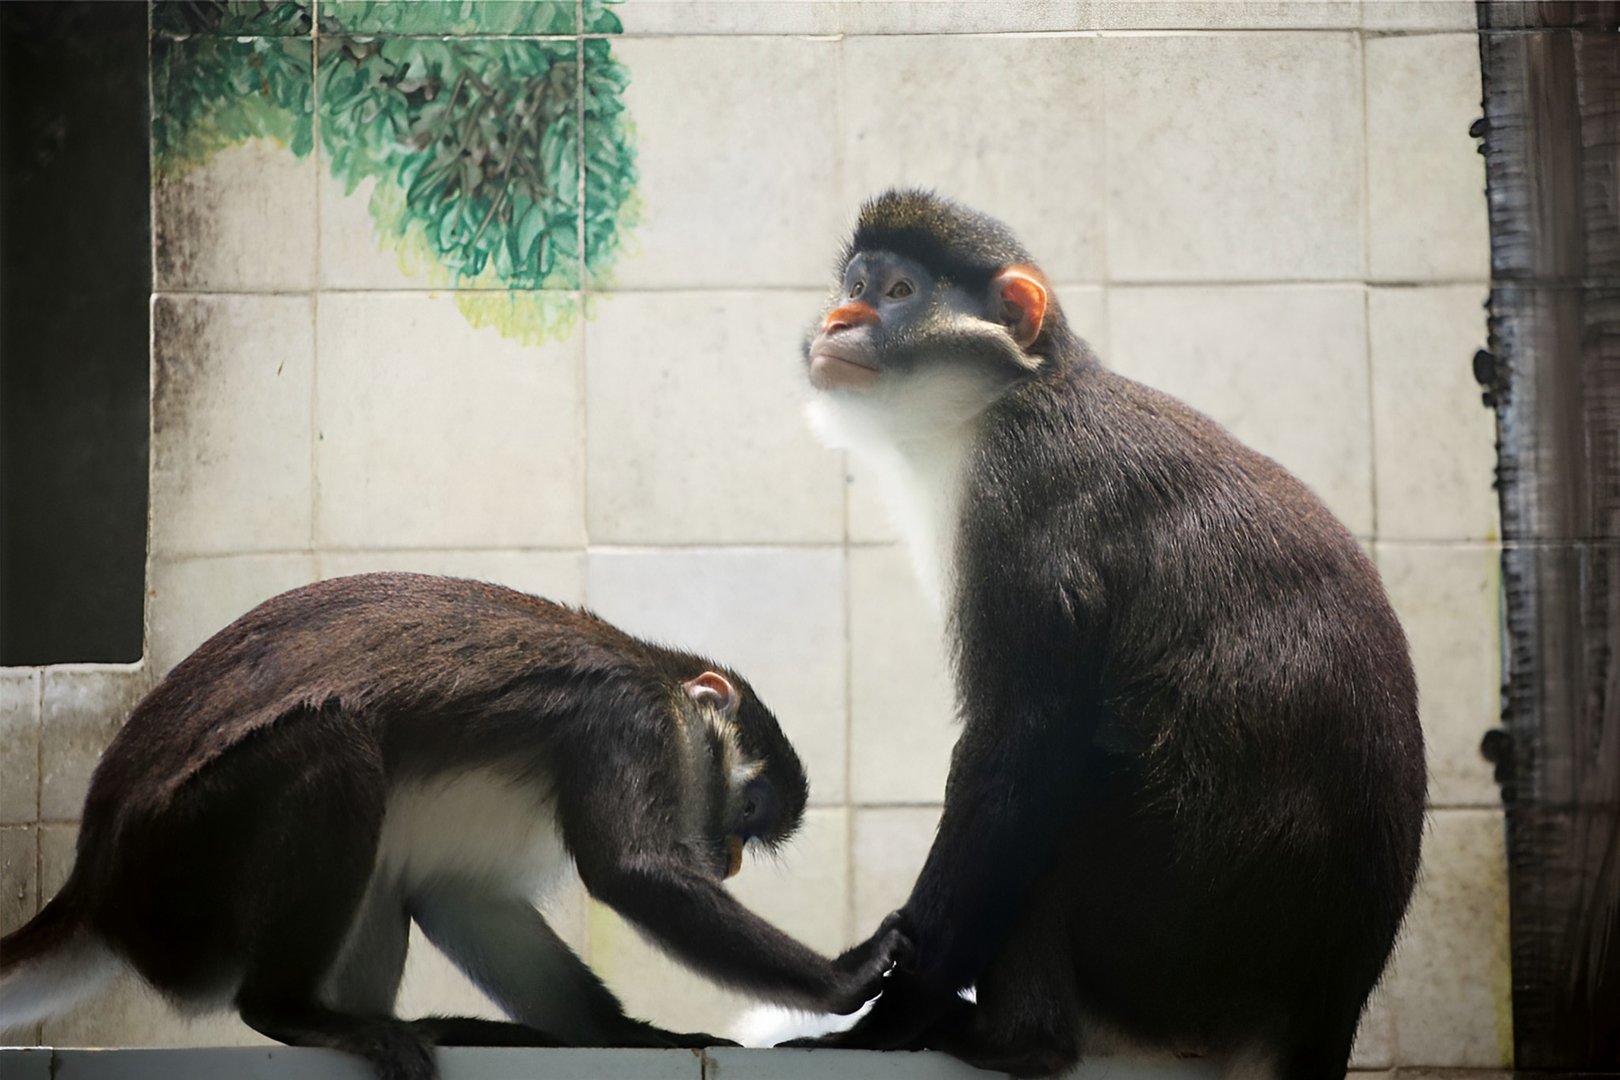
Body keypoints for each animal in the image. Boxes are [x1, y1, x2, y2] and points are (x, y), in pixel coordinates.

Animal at [0, 572, 906, 1080]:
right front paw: (847, 977)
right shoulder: (628, 721)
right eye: (747, 811)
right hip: (185, 871)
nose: (729, 858)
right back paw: (294, 1011)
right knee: (331, 746)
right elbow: (632, 872)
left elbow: (459, 896)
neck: (654, 674)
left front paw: (630, 1036)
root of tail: (95, 883)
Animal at [794, 190, 1427, 1079]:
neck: (1005, 399)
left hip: (1168, 938)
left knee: (1059, 789)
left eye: (897, 292)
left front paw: (883, 1020)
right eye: (853, 285)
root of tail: (1325, 1005)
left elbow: (1021, 743)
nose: (840, 317)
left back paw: (1018, 1040)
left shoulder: (1019, 497)